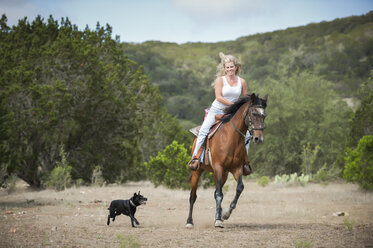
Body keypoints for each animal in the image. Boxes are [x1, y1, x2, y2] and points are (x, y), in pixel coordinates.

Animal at [186, 93, 268, 229]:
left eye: (264, 115)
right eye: (254, 113)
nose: (259, 138)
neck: (230, 137)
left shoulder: (236, 169)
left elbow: (239, 188)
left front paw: (225, 214)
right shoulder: (218, 167)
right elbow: (219, 194)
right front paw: (219, 220)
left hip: (223, 174)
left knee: (215, 193)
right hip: (197, 171)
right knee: (193, 196)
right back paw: (189, 222)